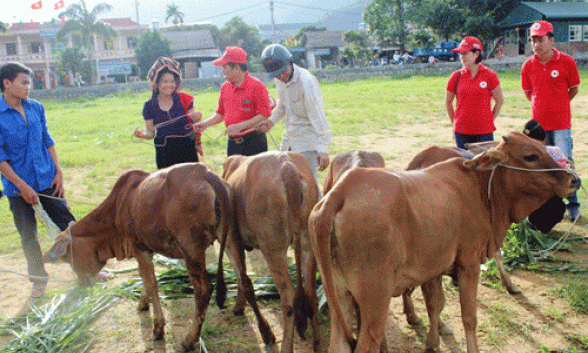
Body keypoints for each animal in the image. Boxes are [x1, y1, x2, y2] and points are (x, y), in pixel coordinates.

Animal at [42, 162, 274, 350]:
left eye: (68, 257)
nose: (82, 284)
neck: (119, 205)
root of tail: (207, 174)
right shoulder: (147, 248)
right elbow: (146, 281)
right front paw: (142, 303)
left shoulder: (140, 248)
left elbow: (152, 283)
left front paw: (158, 328)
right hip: (231, 239)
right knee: (245, 280)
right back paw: (265, 332)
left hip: (191, 250)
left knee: (204, 290)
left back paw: (189, 340)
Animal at [222, 151, 322, 352]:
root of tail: (287, 166)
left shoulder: (231, 242)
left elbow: (245, 282)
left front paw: (266, 332)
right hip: (307, 245)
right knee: (310, 294)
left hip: (273, 251)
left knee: (289, 297)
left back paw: (286, 346)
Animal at [308, 133, 580, 352]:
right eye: (530, 156)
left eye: (543, 148)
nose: (574, 180)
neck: (482, 189)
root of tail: (339, 194)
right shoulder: (469, 262)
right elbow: (468, 316)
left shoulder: (434, 268)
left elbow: (436, 304)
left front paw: (433, 341)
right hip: (374, 302)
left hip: (340, 298)